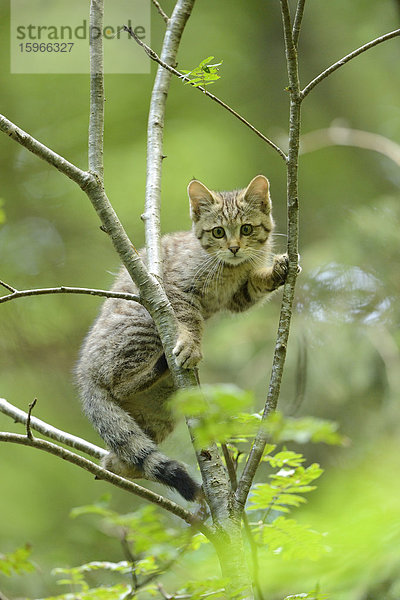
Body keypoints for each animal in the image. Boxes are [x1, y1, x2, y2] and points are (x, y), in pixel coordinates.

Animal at [76, 175, 288, 502]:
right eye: (218, 232)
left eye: (247, 229)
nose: (234, 248)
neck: (231, 269)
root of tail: (85, 376)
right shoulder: (175, 291)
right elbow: (190, 320)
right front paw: (191, 345)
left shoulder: (239, 298)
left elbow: (256, 285)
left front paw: (276, 271)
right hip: (142, 327)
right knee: (118, 383)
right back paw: (161, 364)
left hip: (158, 414)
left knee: (118, 459)